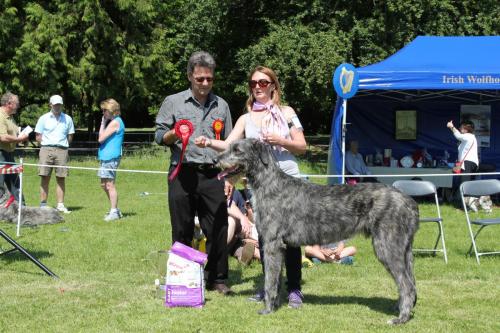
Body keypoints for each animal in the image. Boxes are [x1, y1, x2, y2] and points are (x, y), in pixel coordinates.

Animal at [217, 139, 420, 322]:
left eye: (237, 149)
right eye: (229, 146)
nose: (215, 160)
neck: (269, 183)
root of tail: (409, 202)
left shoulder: (272, 244)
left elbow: (270, 280)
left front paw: (267, 309)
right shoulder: (279, 246)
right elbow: (276, 278)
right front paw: (275, 305)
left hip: (387, 246)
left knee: (406, 284)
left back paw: (401, 318)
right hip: (404, 250)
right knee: (410, 281)